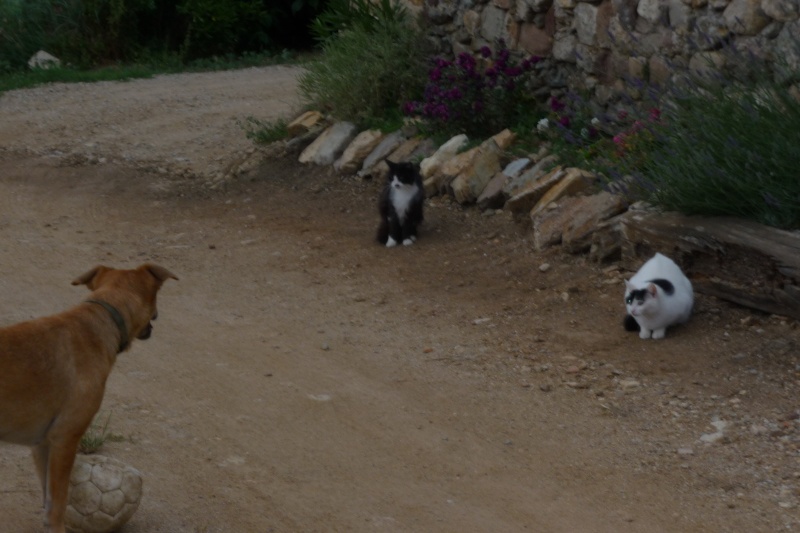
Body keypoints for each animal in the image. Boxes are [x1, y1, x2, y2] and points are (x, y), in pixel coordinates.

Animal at [0, 264, 177, 532]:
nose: (157, 317)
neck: (101, 317)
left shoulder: (41, 445)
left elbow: (47, 501)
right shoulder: (65, 440)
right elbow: (58, 506)